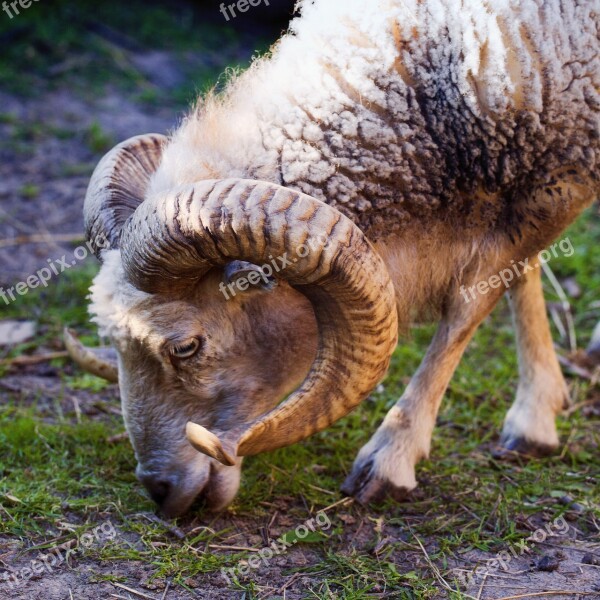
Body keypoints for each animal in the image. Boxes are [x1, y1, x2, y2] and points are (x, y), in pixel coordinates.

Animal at [71, 0, 600, 516]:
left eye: (186, 347)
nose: (158, 490)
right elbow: (523, 274)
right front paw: (539, 413)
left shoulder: (560, 172)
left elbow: (469, 306)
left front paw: (392, 455)